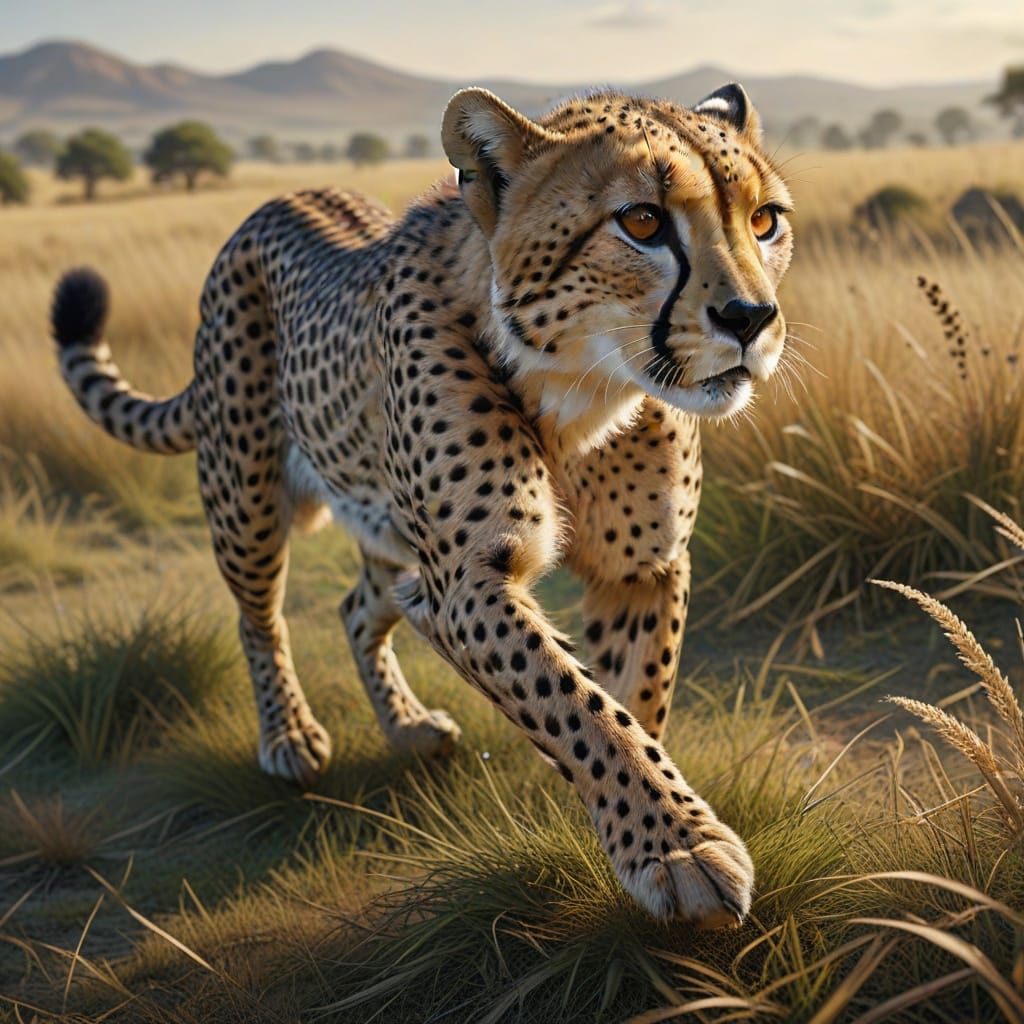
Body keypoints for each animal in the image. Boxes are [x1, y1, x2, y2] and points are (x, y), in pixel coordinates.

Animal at [51, 82, 794, 927]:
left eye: (765, 220)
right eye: (642, 222)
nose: (750, 319)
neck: (583, 393)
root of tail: (281, 198)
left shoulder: (639, 569)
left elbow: (635, 699)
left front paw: (642, 830)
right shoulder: (469, 581)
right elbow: (582, 708)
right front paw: (678, 847)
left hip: (389, 536)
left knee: (357, 608)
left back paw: (405, 726)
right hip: (246, 499)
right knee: (259, 616)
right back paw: (289, 735)